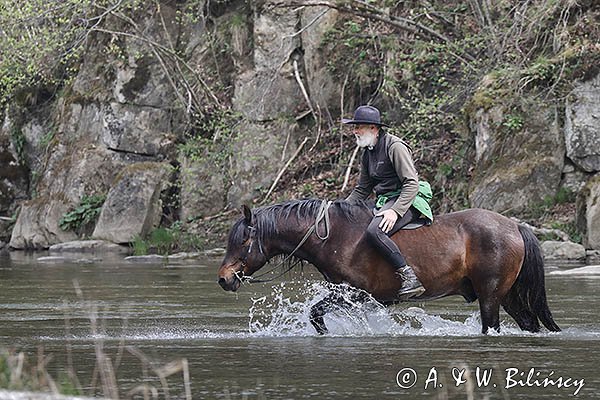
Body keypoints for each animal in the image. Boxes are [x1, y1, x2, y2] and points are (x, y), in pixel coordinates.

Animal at [217, 199, 564, 334]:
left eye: (244, 242)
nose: (223, 279)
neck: (333, 237)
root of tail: (514, 225)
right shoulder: (355, 298)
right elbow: (317, 314)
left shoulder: (355, 295)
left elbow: (316, 313)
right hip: (508, 295)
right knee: (529, 323)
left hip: (491, 295)